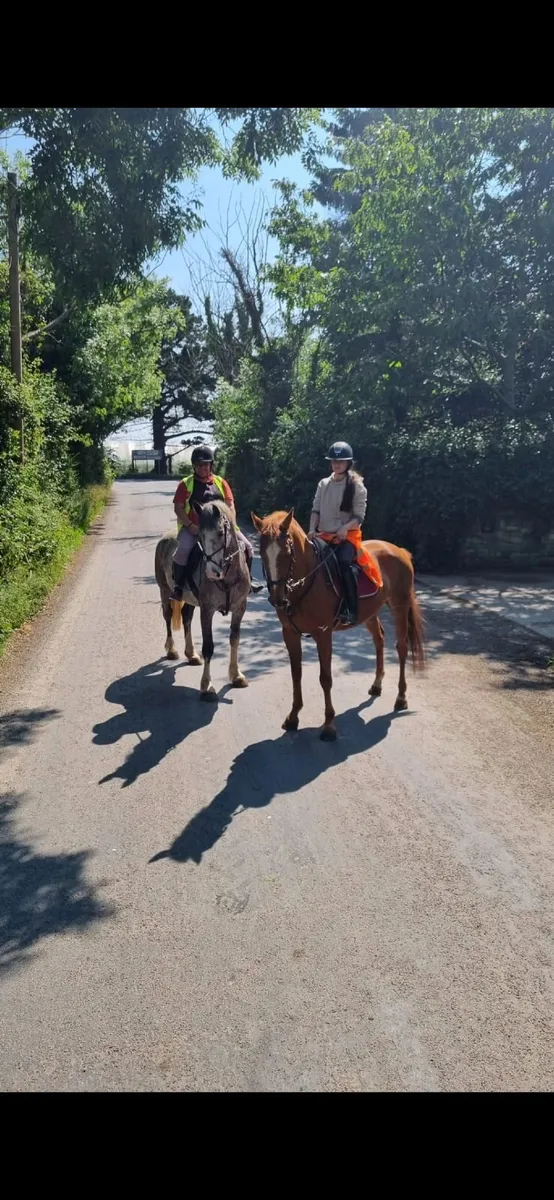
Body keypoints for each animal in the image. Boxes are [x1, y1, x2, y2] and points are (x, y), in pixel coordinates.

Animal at [154, 500, 251, 700]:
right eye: (200, 535)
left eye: (221, 533)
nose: (212, 573)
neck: (226, 577)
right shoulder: (207, 610)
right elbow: (208, 647)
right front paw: (207, 686)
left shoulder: (240, 607)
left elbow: (235, 640)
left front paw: (236, 675)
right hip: (164, 590)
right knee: (168, 617)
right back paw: (172, 650)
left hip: (190, 600)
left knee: (186, 617)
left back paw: (191, 654)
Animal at [251, 508, 425, 740]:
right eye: (262, 553)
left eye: (287, 553)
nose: (278, 599)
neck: (306, 583)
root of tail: (400, 551)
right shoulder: (290, 633)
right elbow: (296, 674)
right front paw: (293, 717)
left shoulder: (323, 634)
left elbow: (325, 678)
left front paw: (329, 726)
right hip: (369, 613)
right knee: (379, 639)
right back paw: (377, 685)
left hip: (400, 606)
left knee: (402, 648)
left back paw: (401, 697)